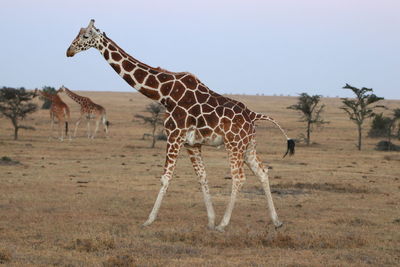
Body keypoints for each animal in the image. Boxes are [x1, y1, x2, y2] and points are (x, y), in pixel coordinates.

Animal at [67, 19, 296, 232]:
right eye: (77, 34)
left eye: (85, 36)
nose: (69, 51)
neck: (164, 93)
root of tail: (253, 115)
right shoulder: (191, 144)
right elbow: (202, 178)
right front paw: (210, 221)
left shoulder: (174, 135)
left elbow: (165, 178)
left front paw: (149, 220)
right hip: (248, 145)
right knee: (263, 171)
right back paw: (276, 221)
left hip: (234, 144)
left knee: (239, 178)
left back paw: (224, 224)